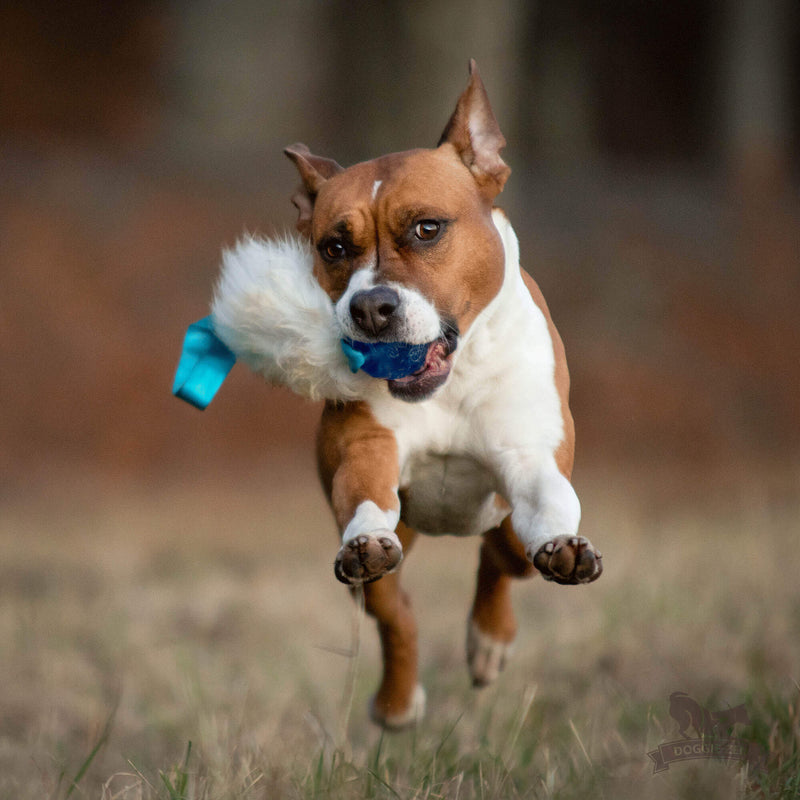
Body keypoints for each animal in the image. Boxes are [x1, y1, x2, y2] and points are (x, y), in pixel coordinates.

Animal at [216, 59, 604, 728]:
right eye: (334, 246)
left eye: (427, 229)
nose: (371, 307)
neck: (448, 386)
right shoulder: (366, 449)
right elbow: (370, 504)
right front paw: (369, 536)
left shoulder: (530, 458)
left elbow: (546, 503)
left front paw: (562, 544)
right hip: (383, 566)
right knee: (395, 609)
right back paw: (397, 702)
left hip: (503, 524)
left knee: (501, 558)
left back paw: (490, 640)